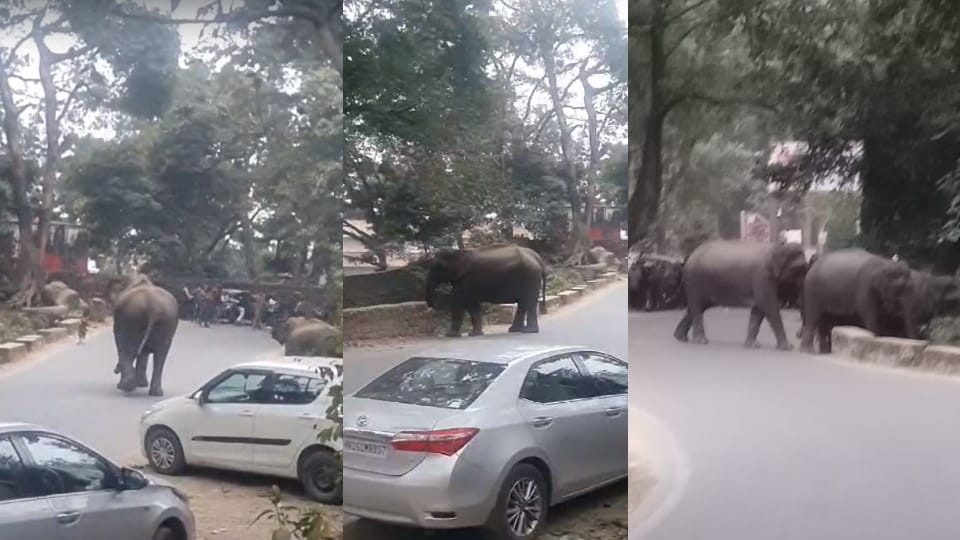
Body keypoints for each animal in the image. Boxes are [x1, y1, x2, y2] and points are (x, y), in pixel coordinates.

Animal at [674, 240, 808, 350]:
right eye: (798, 268)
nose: (798, 335)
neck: (777, 248)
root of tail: (690, 256)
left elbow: (758, 310)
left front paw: (752, 346)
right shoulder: (762, 276)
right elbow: (769, 306)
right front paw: (787, 347)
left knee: (696, 308)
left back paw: (680, 337)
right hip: (694, 281)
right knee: (697, 308)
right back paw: (700, 341)